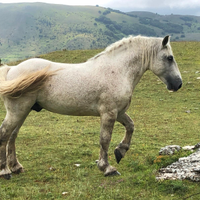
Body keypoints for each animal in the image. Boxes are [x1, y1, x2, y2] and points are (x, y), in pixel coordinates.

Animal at [0, 35, 182, 179]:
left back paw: (16, 167)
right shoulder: (109, 113)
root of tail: (11, 69)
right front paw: (107, 168)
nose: (178, 84)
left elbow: (130, 126)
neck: (117, 70)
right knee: (4, 134)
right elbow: (105, 139)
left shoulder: (119, 112)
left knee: (12, 136)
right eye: (169, 58)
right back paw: (5, 171)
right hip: (17, 111)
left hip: (23, 112)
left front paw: (120, 151)